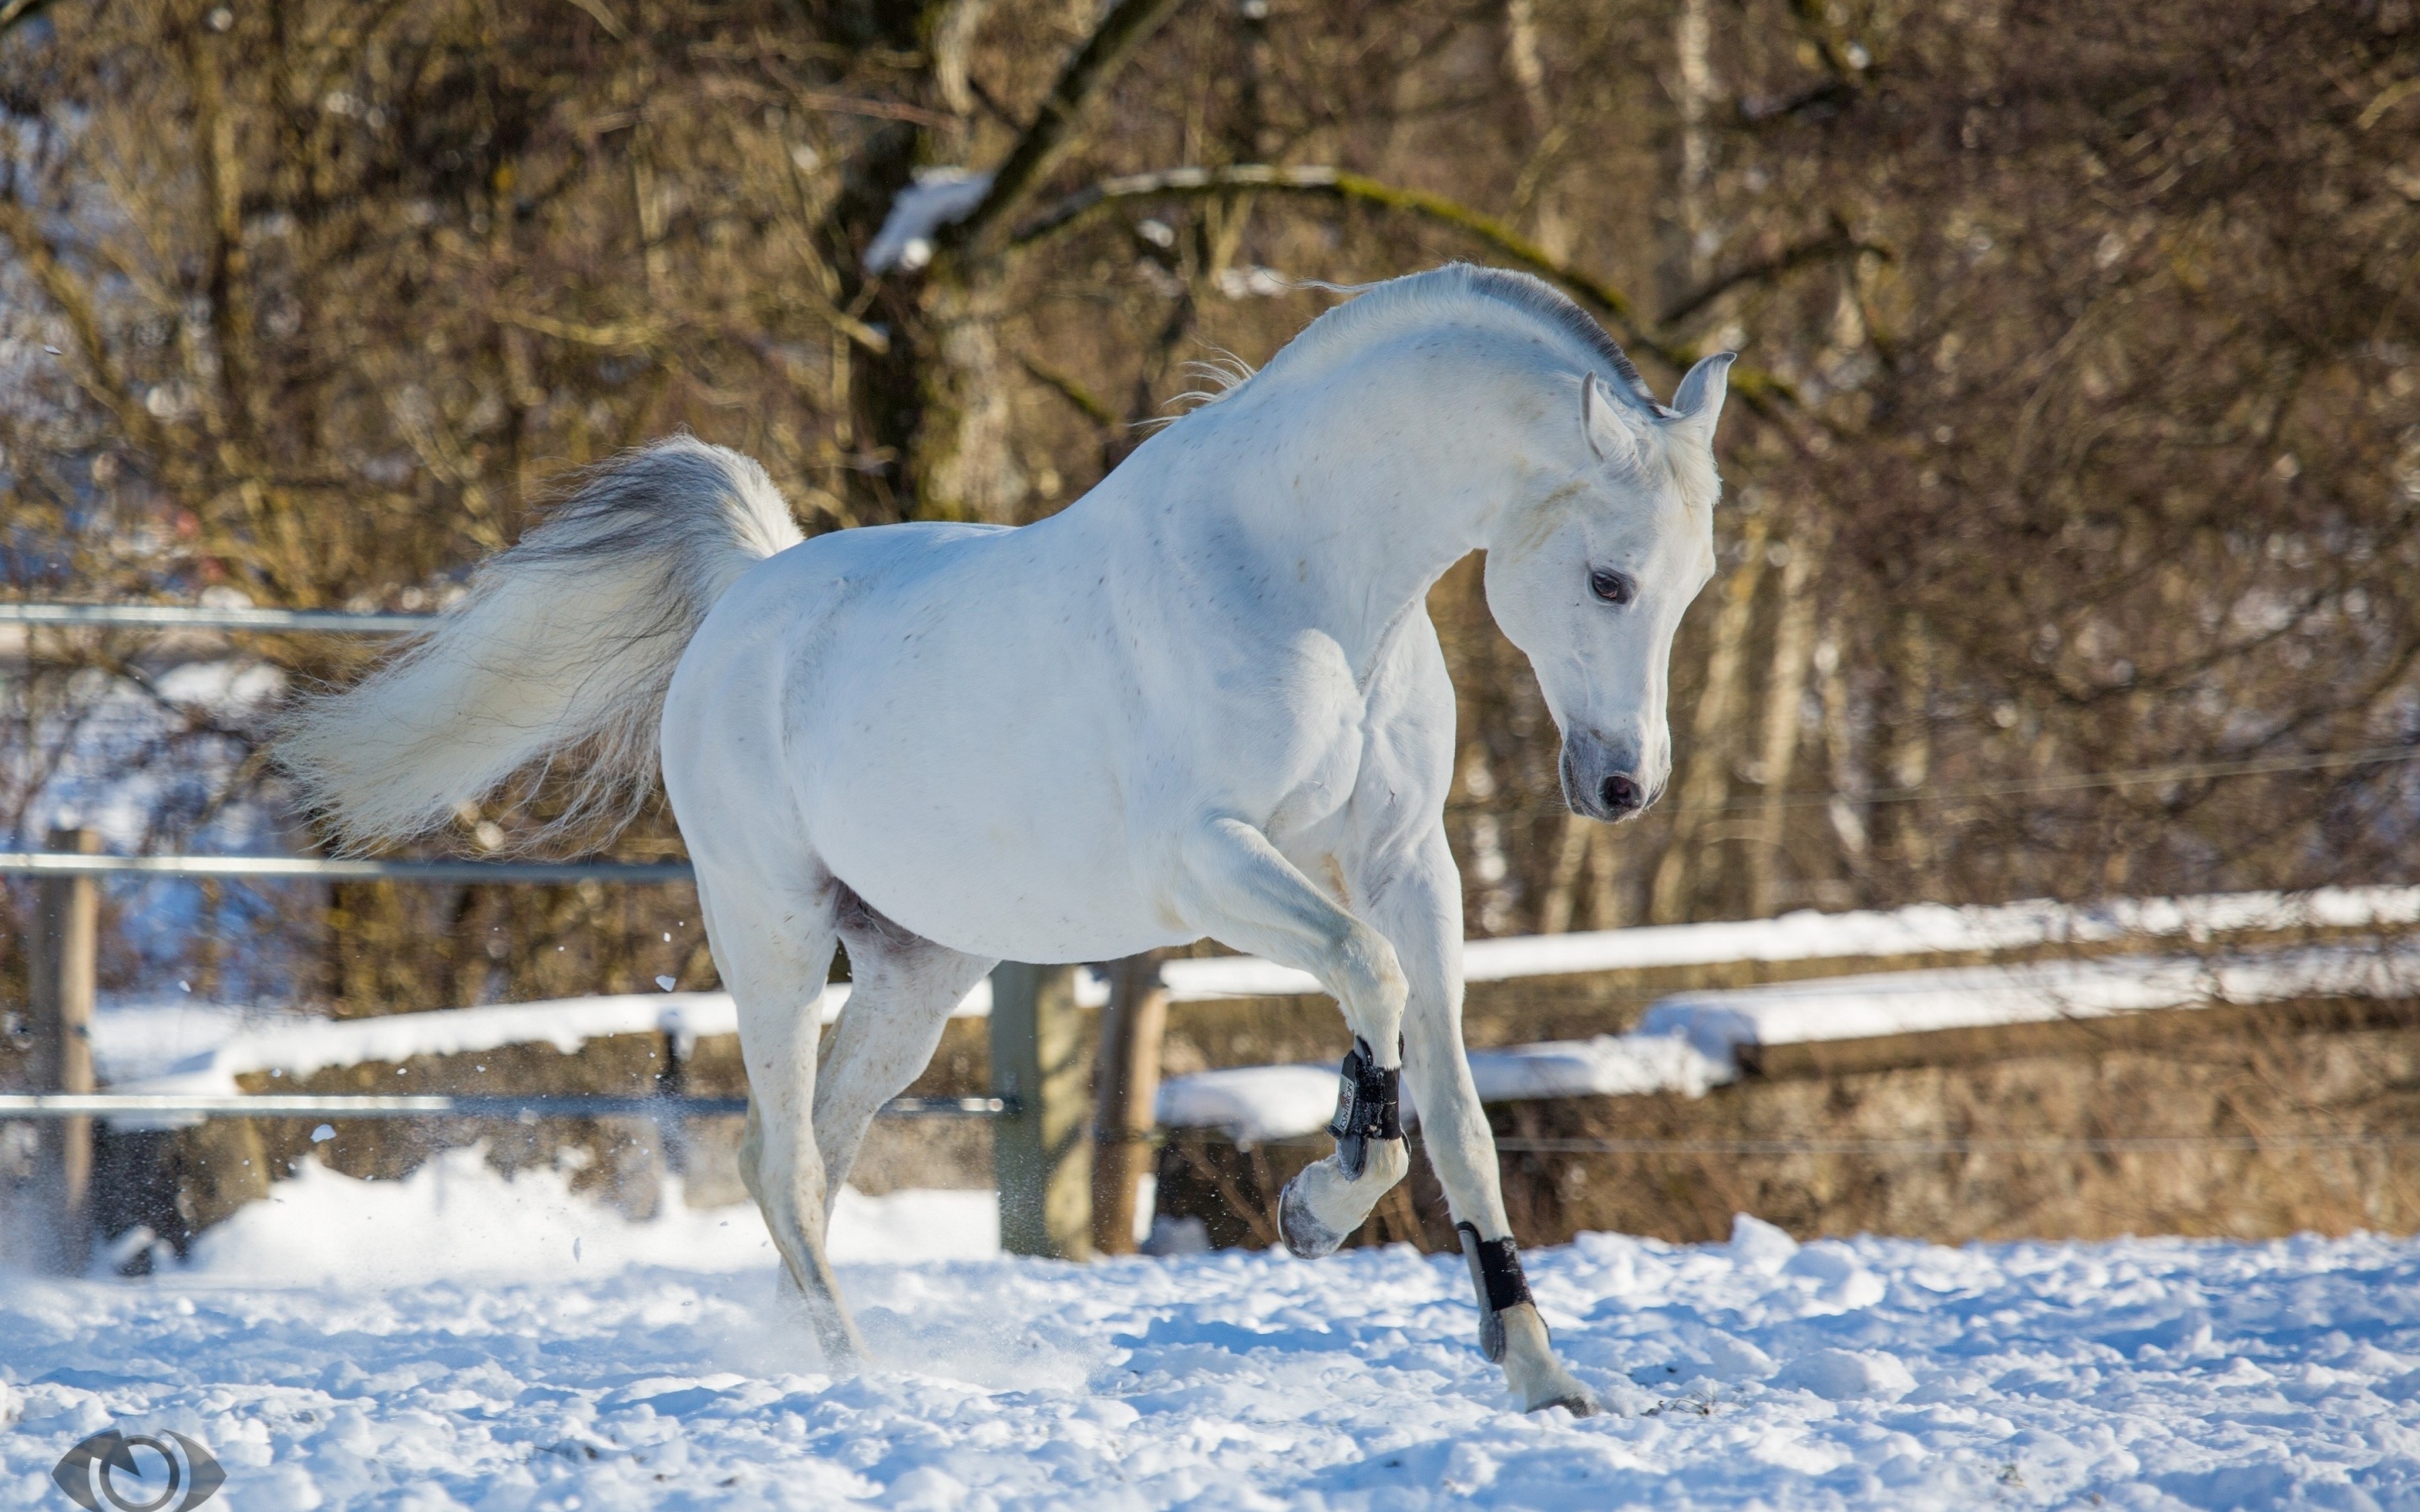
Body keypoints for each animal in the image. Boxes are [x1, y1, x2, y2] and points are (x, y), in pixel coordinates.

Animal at [278, 262, 1723, 1412]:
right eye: (1608, 579)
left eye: (1693, 583)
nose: (1622, 786)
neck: (1304, 583)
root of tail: (748, 593)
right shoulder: (1210, 864)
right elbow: (1367, 988)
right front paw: (1316, 1210)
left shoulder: (1408, 869)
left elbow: (1463, 1116)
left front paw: (1540, 1374)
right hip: (771, 934)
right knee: (785, 1157)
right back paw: (858, 1375)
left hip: (915, 977)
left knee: (803, 1159)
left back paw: (829, 1355)